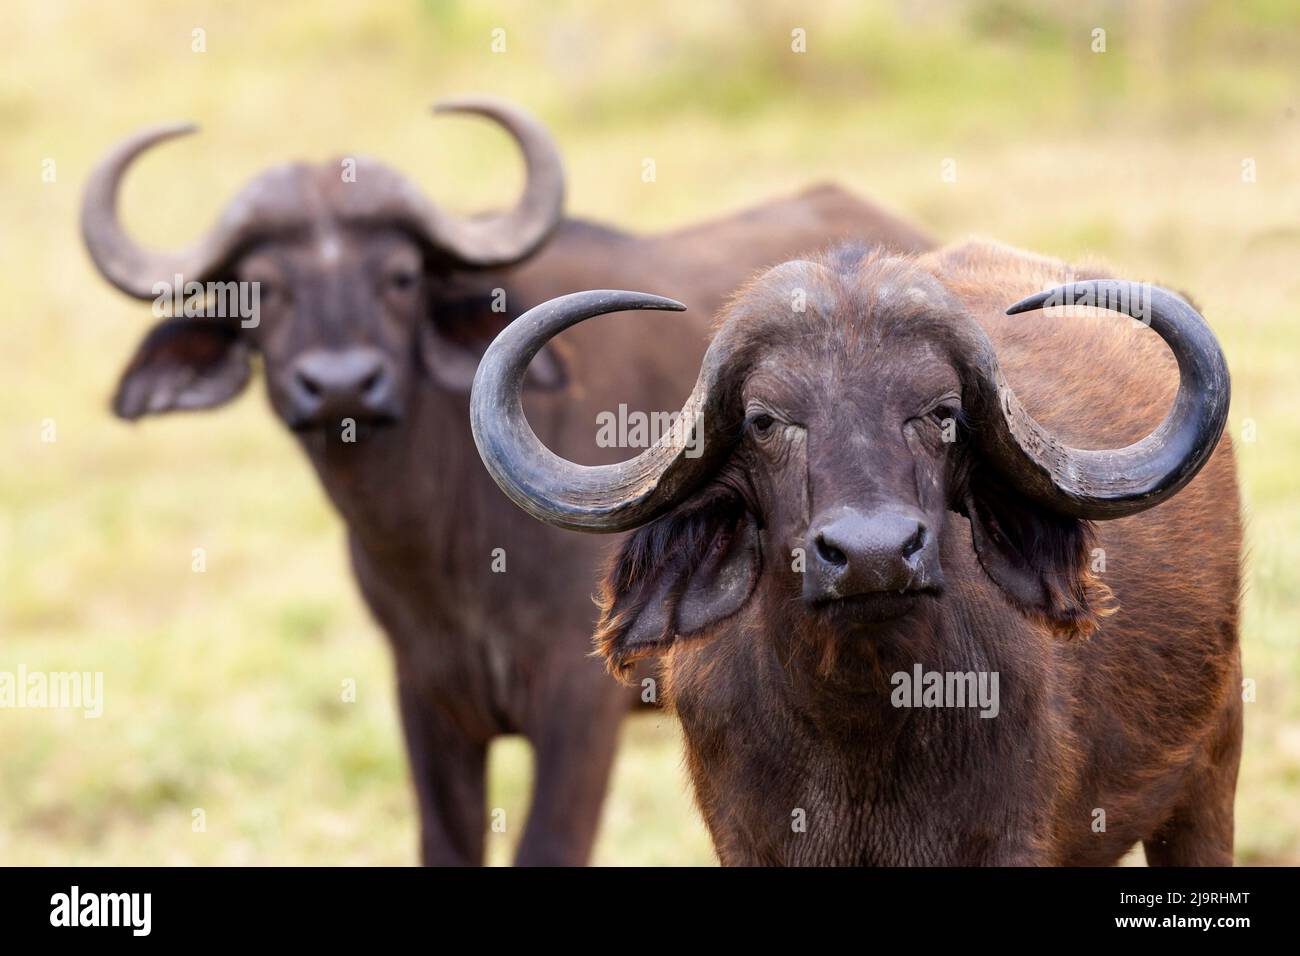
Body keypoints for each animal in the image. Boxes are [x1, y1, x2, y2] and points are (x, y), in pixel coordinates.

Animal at [82, 98, 934, 865]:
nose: (342, 386)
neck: (444, 542)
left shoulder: (581, 705)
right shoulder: (427, 695)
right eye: (261, 286)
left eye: (400, 276)